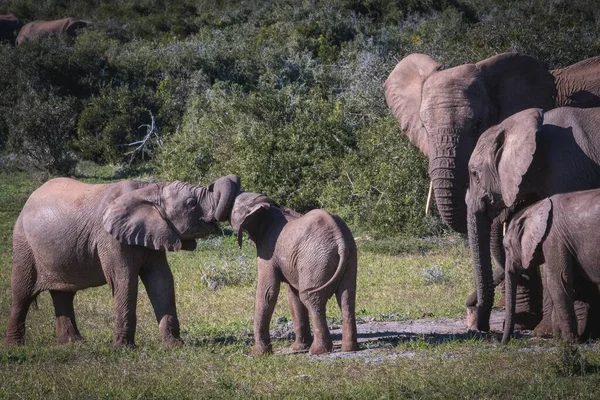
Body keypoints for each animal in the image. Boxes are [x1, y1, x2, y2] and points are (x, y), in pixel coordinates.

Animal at [5, 175, 239, 346]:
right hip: (23, 243)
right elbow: (124, 281)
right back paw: (15, 346)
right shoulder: (110, 238)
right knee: (22, 292)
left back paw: (73, 343)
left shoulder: (155, 232)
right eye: (191, 204)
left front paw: (174, 345)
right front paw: (124, 348)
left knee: (63, 294)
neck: (149, 190)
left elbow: (161, 280)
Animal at [229, 192, 358, 354]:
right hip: (349, 256)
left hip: (315, 258)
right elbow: (293, 295)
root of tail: (340, 239)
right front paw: (298, 348)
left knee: (310, 297)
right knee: (347, 297)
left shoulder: (268, 250)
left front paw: (257, 354)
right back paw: (349, 349)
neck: (269, 207)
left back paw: (317, 351)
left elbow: (267, 292)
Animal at [500, 190, 600, 344]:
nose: (504, 342)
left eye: (506, 247)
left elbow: (557, 282)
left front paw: (569, 341)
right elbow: (580, 285)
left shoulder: (553, 238)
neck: (535, 208)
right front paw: (559, 338)